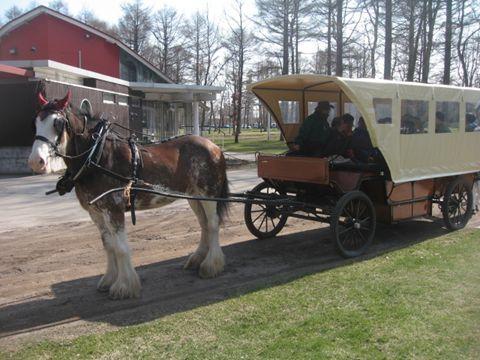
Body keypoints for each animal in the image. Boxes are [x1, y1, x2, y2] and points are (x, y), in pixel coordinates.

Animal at [28, 91, 231, 300]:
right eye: (35, 122)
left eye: (58, 123)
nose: (36, 161)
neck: (97, 156)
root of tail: (214, 147)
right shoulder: (96, 212)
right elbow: (108, 245)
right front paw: (109, 279)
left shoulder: (113, 209)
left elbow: (120, 248)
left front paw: (124, 286)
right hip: (195, 197)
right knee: (204, 224)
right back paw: (198, 258)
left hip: (209, 193)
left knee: (213, 224)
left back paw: (211, 265)